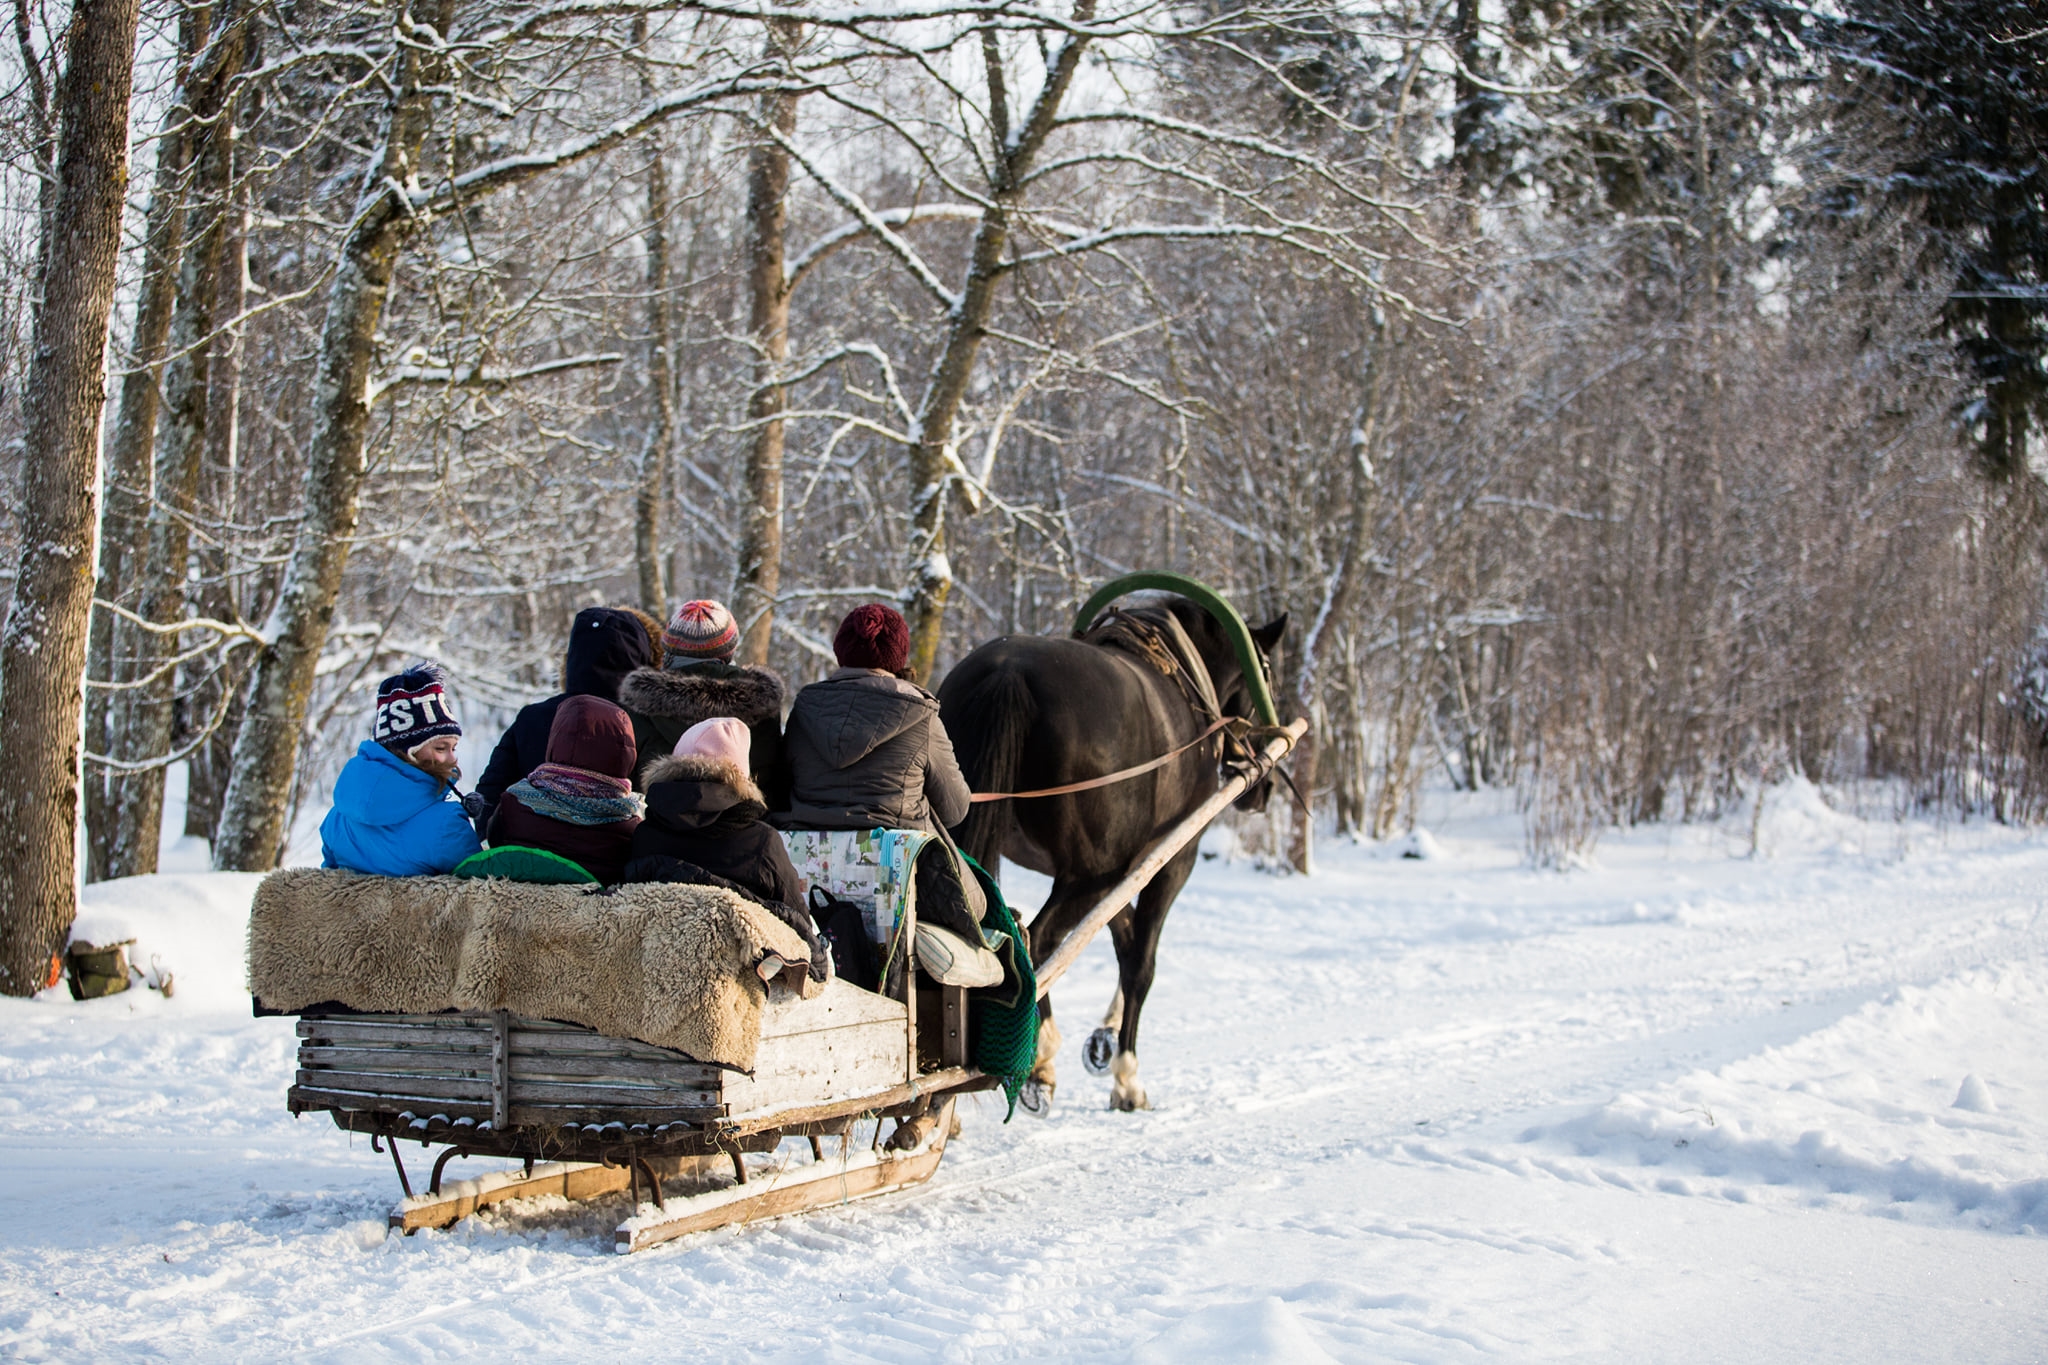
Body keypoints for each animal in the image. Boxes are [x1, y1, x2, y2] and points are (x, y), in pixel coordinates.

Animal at [937, 593, 1277, 1113]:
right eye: (1267, 670)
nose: (1264, 788)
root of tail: (1008, 671)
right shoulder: (1170, 859)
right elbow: (1141, 961)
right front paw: (1126, 1075)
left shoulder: (1122, 868)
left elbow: (1123, 934)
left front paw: (1105, 1039)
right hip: (1092, 872)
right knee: (1037, 938)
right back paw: (1040, 1056)